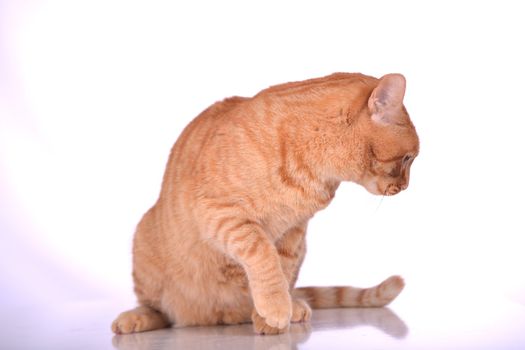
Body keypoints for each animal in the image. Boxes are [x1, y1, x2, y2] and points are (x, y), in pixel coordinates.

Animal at [112, 72, 420, 334]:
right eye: (407, 159)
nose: (406, 187)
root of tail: (210, 318)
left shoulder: (292, 232)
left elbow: (280, 269)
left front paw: (269, 315)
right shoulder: (222, 213)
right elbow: (262, 255)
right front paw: (275, 307)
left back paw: (289, 306)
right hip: (145, 246)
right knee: (160, 311)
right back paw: (135, 318)